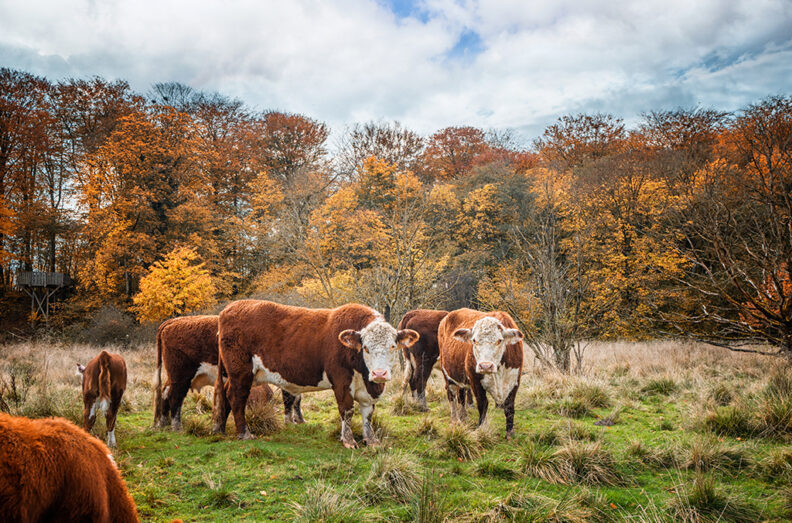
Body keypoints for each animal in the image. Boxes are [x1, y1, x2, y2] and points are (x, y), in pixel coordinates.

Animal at [154, 315, 303, 431]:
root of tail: (173, 321)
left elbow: (297, 398)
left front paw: (299, 420)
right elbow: (290, 398)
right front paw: (290, 422)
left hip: (174, 376)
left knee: (165, 392)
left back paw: (163, 423)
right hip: (181, 375)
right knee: (175, 396)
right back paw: (177, 427)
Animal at [212, 300, 419, 448]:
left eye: (392, 346)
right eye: (366, 348)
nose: (379, 373)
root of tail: (230, 308)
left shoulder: (369, 390)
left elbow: (367, 414)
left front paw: (372, 440)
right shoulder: (341, 381)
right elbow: (347, 410)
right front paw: (348, 440)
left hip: (232, 374)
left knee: (225, 395)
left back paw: (220, 428)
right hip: (240, 372)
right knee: (236, 397)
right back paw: (244, 433)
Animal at [437, 308, 524, 439]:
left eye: (499, 340)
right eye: (474, 340)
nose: (485, 366)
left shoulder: (515, 380)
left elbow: (509, 406)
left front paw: (510, 433)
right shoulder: (475, 381)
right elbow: (483, 404)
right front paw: (481, 428)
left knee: (461, 395)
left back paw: (464, 417)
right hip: (447, 374)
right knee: (451, 395)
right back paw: (455, 420)